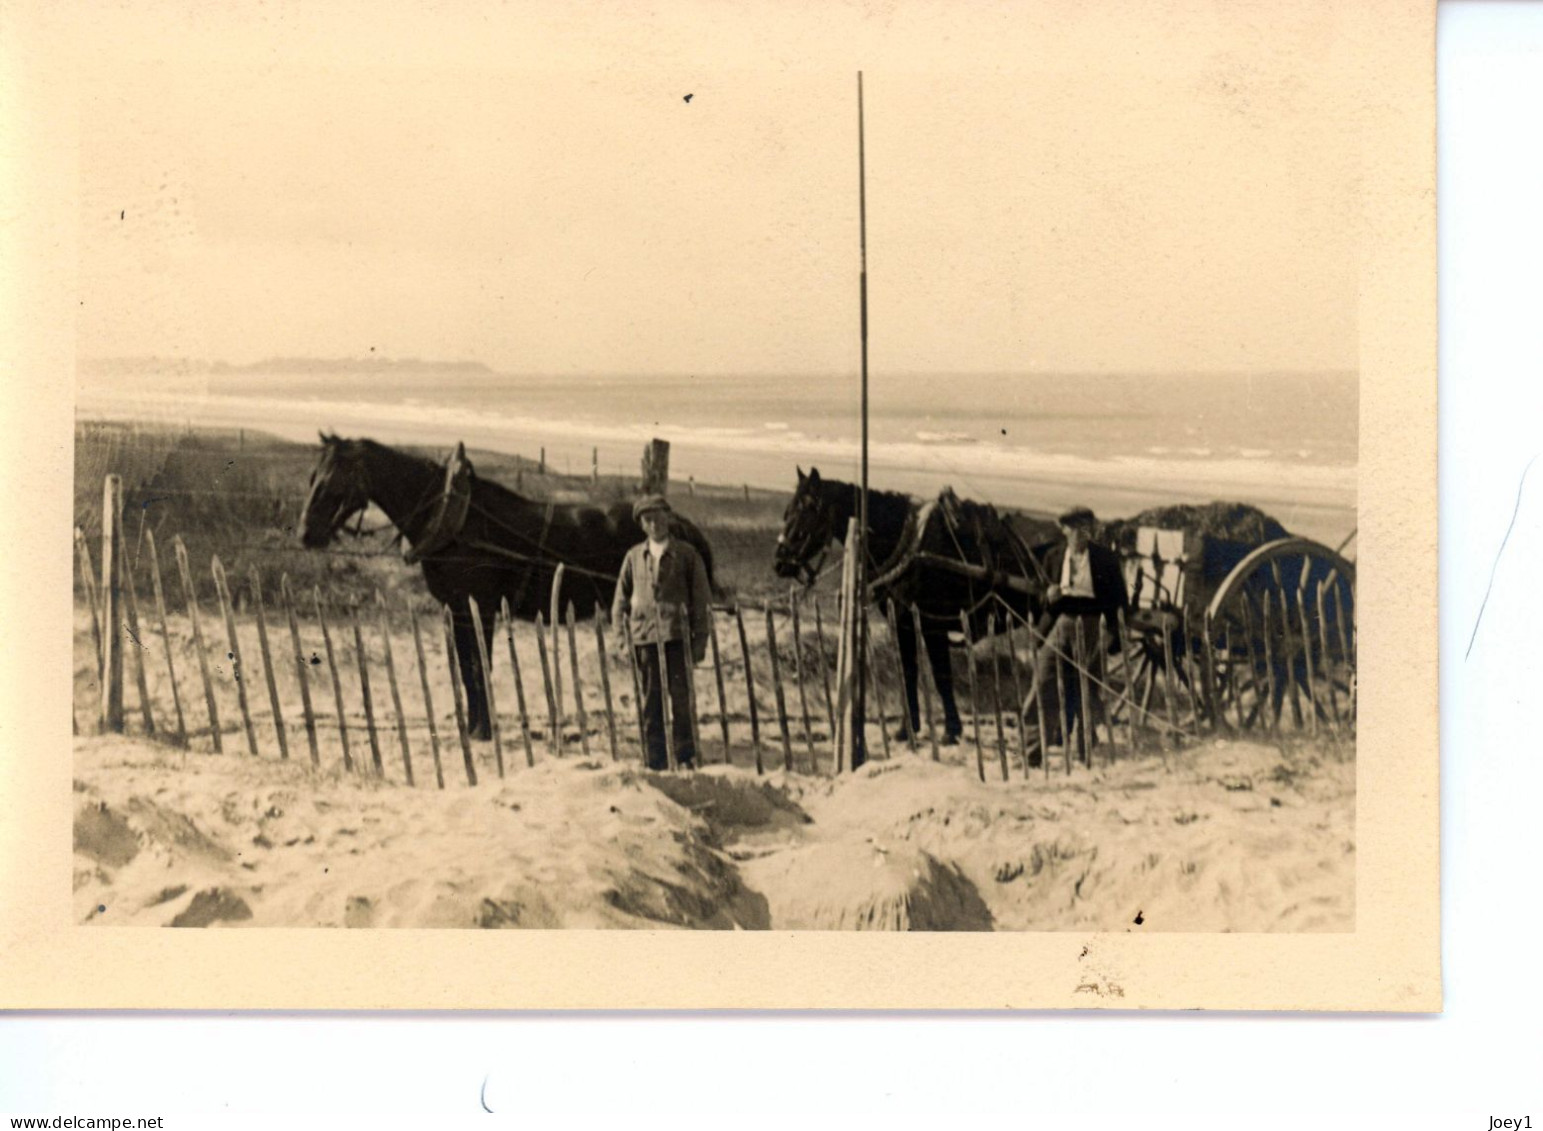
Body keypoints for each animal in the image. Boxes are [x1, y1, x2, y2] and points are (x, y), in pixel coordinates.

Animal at [299, 435, 715, 740]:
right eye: (311, 477)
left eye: (332, 481)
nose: (305, 533)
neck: (456, 520)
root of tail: (679, 522)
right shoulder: (457, 609)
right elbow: (467, 669)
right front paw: (472, 726)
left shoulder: (479, 607)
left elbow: (478, 666)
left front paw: (483, 728)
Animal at [771, 465, 1061, 740]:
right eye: (786, 511)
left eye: (807, 509)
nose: (780, 563)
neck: (910, 545)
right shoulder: (904, 624)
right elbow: (908, 673)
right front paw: (907, 728)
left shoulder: (931, 624)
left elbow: (940, 675)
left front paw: (951, 730)